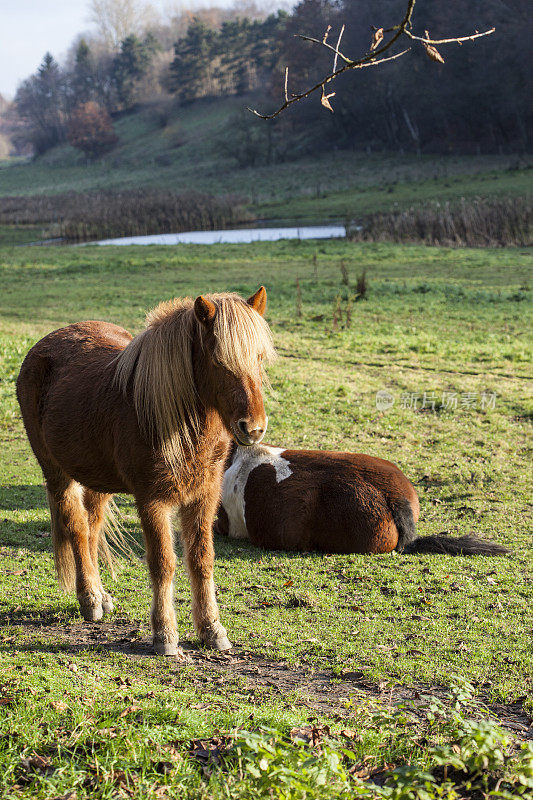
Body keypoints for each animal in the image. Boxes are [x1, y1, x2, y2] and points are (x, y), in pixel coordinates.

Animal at [16, 290, 274, 656]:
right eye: (218, 362)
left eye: (260, 358)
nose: (253, 429)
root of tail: (43, 346)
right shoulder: (152, 500)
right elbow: (163, 564)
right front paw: (164, 635)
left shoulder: (204, 497)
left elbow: (202, 559)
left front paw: (212, 629)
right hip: (57, 473)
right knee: (77, 527)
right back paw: (90, 599)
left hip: (97, 479)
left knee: (92, 527)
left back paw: (100, 596)